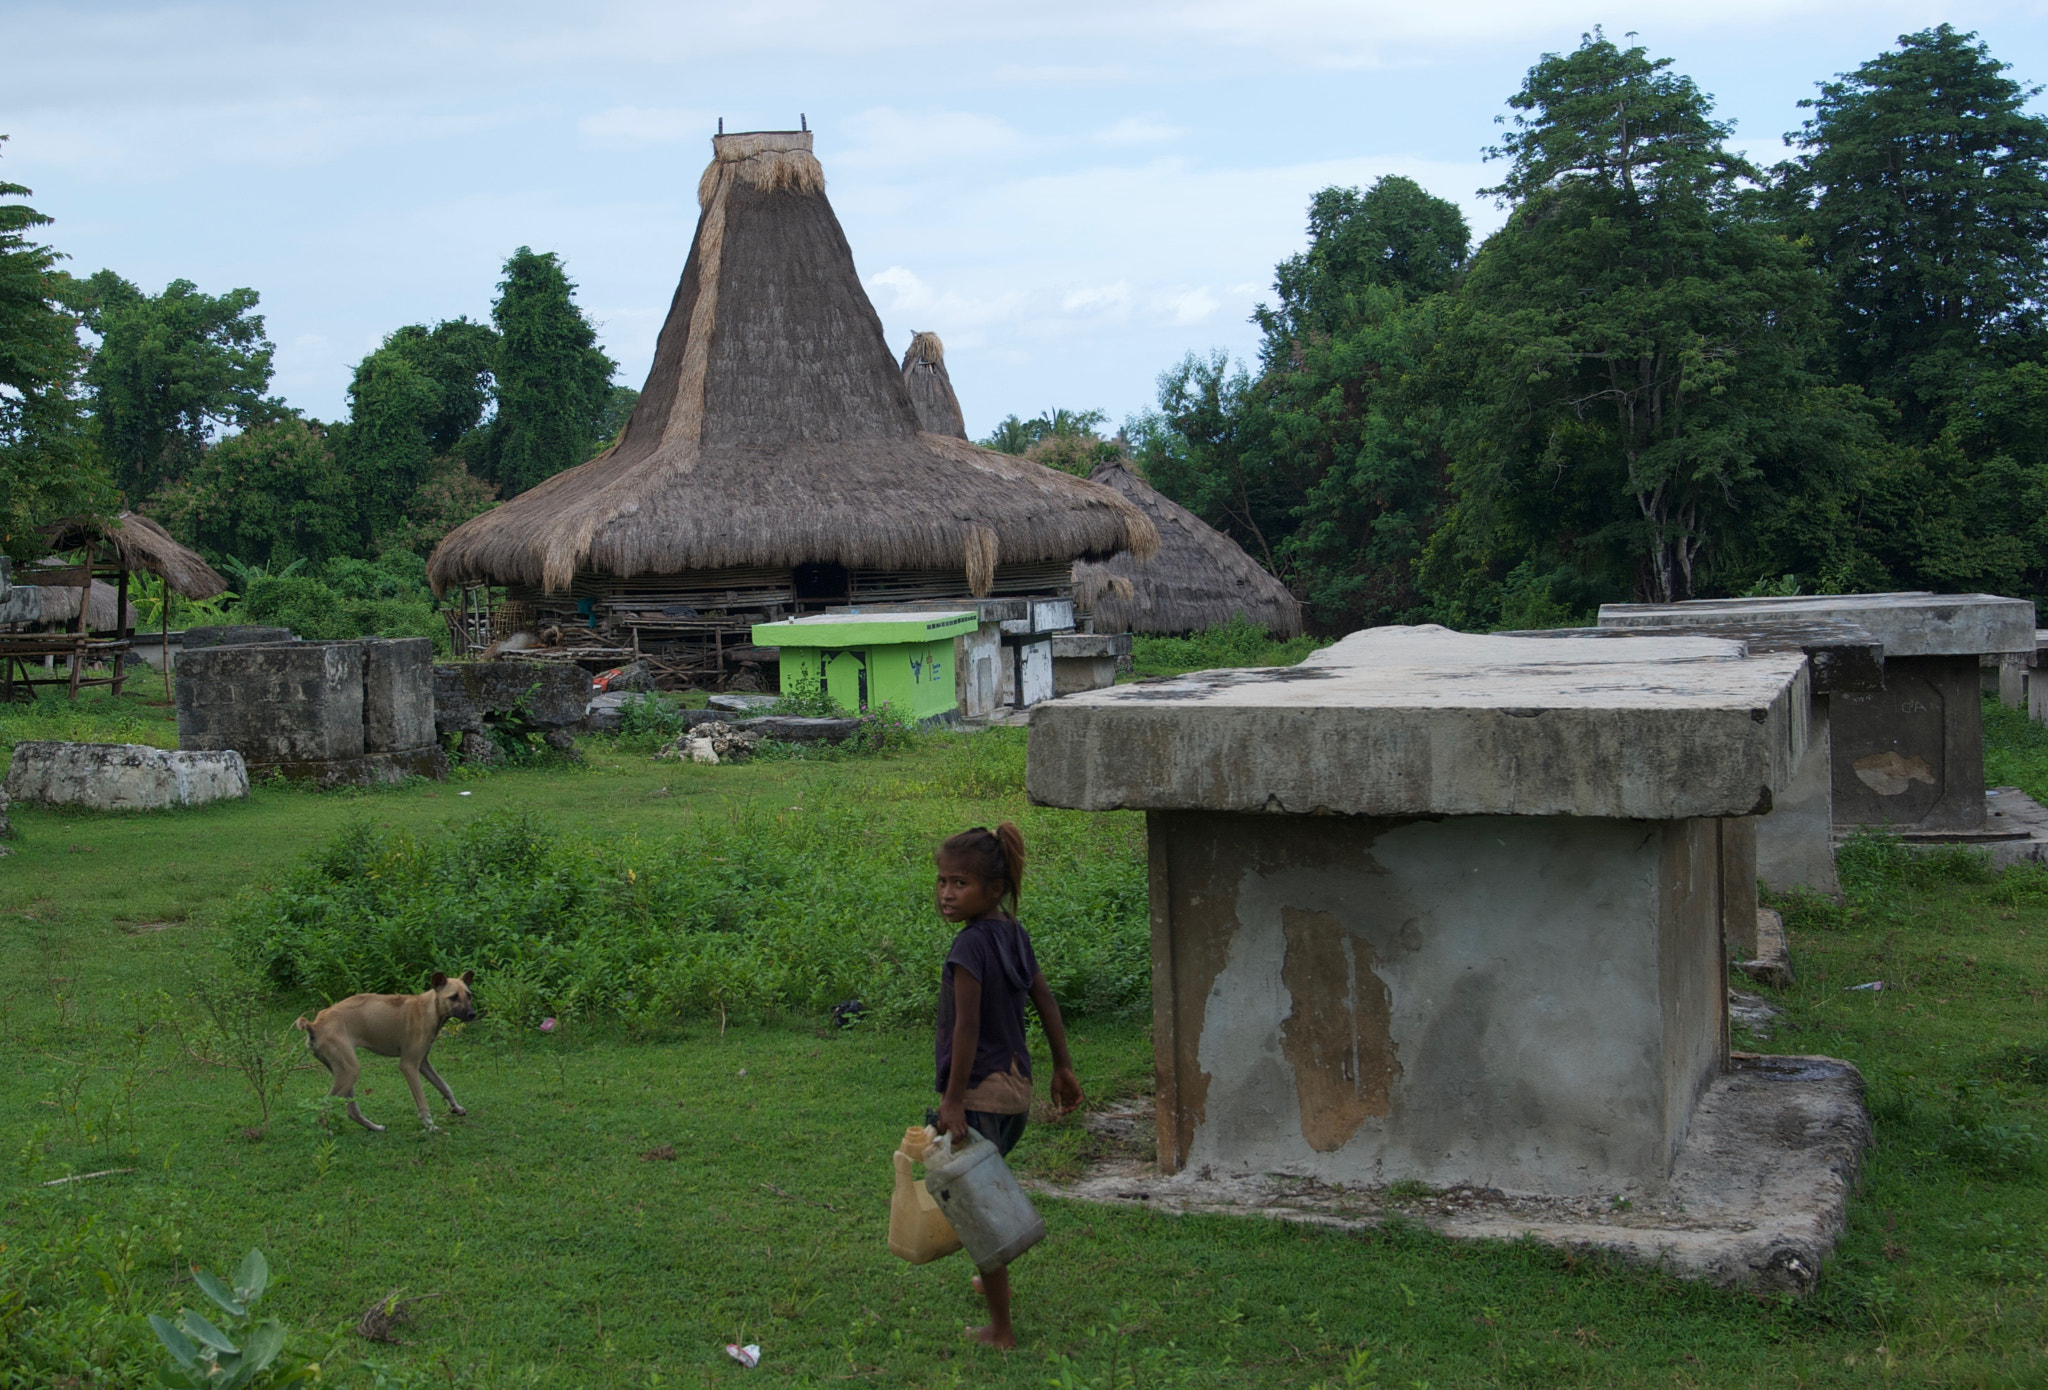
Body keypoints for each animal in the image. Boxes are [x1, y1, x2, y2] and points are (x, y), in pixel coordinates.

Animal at [296, 974, 475, 1138]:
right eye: (453, 997)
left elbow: (444, 1086)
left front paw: (456, 1107)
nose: (472, 1014)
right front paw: (430, 1127)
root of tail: (314, 1025)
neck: (429, 1009)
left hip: (344, 1073)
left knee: (351, 1111)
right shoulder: (409, 1065)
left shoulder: (423, 1063)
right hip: (349, 1072)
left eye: (469, 995)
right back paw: (327, 1134)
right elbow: (423, 1103)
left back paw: (374, 1128)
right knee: (324, 1106)